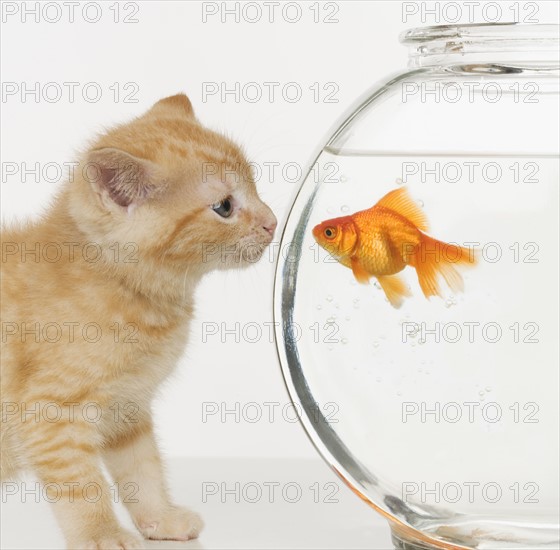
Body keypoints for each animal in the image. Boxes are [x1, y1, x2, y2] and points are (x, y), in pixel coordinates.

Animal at [0, 92, 276, 548]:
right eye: (224, 207)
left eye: (255, 186)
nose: (272, 222)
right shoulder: (51, 410)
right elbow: (81, 485)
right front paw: (101, 534)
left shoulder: (127, 407)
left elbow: (142, 469)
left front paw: (159, 519)